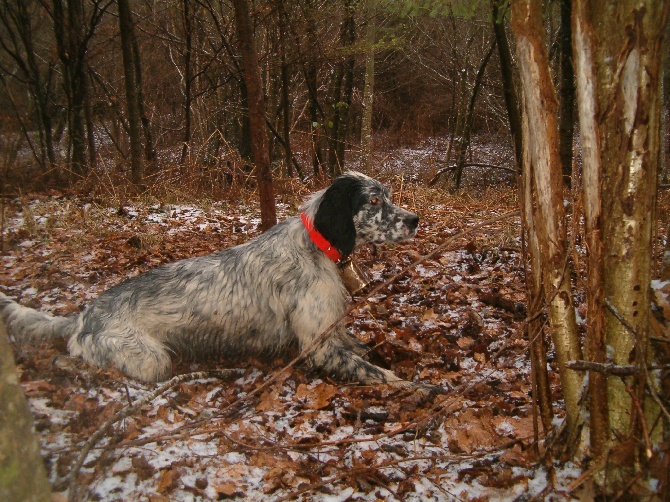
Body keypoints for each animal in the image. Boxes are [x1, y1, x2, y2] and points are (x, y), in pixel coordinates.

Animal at [0, 175, 430, 390]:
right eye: (373, 201)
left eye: (389, 196)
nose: (414, 220)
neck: (316, 247)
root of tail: (82, 316)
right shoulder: (319, 348)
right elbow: (381, 375)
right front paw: (424, 389)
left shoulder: (332, 331)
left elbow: (365, 347)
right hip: (147, 358)